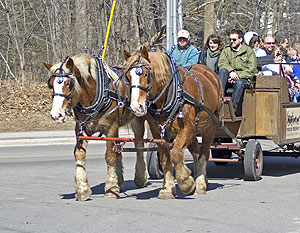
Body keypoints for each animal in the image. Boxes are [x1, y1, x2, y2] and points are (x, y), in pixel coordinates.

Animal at [44, 54, 146, 200]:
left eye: (68, 83)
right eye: (51, 84)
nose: (56, 114)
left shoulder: (111, 128)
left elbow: (110, 156)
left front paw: (111, 188)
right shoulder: (81, 129)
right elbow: (79, 154)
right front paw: (82, 189)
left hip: (137, 118)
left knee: (139, 146)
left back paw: (140, 177)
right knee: (119, 149)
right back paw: (120, 182)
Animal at [123, 46, 223, 198]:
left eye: (146, 74)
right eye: (128, 77)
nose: (136, 106)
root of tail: (212, 74)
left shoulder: (187, 128)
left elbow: (175, 153)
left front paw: (186, 182)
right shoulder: (158, 132)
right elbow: (165, 159)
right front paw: (168, 188)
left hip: (210, 125)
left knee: (204, 152)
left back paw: (200, 184)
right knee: (196, 150)